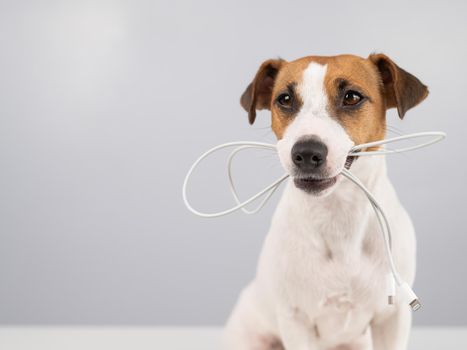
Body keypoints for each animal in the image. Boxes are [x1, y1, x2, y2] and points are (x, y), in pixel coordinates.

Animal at [225, 52, 430, 350]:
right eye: (284, 99)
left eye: (352, 97)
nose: (306, 153)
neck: (338, 215)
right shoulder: (296, 320)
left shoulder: (392, 318)